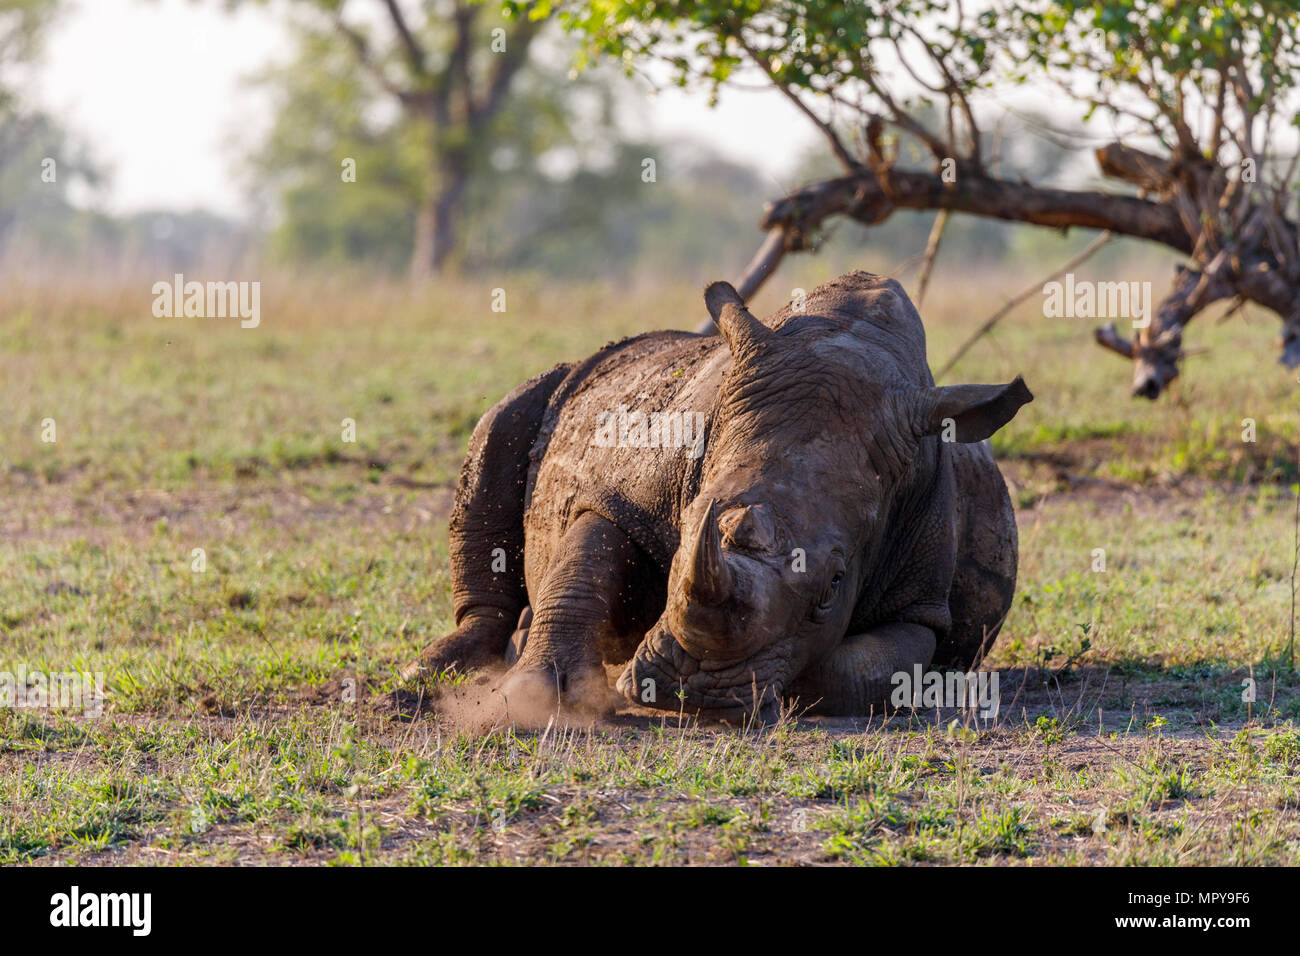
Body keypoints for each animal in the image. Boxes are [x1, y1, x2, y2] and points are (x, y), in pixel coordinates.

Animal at [407, 271, 1032, 721]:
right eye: (685, 530)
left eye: (834, 584)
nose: (696, 686)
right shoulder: (624, 497)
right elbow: (582, 565)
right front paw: (534, 700)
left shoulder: (920, 602)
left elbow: (864, 670)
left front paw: (781, 687)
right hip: (570, 383)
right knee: (498, 426)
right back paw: (435, 674)